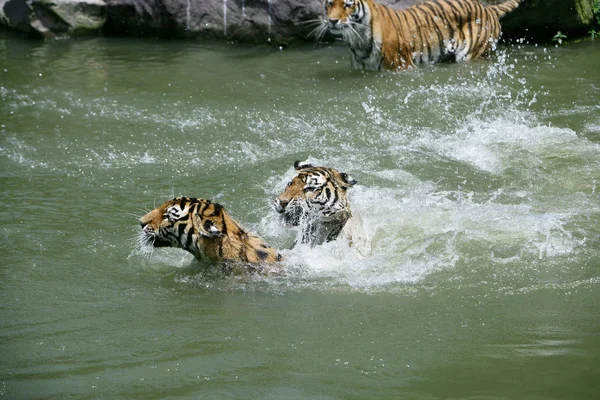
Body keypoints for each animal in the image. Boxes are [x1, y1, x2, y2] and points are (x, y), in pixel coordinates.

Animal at [318, 0, 520, 71]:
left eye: (347, 5)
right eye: (330, 3)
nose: (332, 21)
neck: (358, 38)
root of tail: (488, 8)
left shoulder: (402, 67)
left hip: (471, 53)